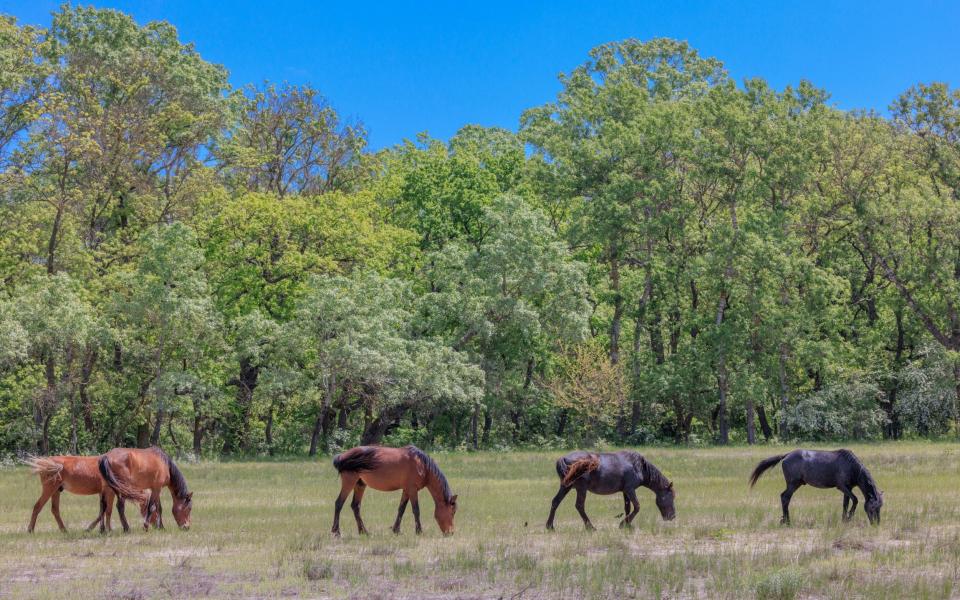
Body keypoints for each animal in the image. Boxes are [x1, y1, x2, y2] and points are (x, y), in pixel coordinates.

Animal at [330, 446, 458, 540]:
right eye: (452, 512)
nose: (451, 533)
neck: (422, 466)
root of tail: (341, 456)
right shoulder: (412, 490)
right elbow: (416, 510)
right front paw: (419, 531)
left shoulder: (406, 490)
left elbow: (401, 509)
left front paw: (396, 530)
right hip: (349, 482)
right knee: (339, 503)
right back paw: (336, 532)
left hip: (360, 484)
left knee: (355, 506)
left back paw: (363, 532)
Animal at [548, 450, 676, 528]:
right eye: (671, 497)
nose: (673, 516)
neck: (637, 466)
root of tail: (564, 458)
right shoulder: (630, 489)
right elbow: (637, 507)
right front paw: (623, 524)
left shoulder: (625, 491)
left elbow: (628, 508)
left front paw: (627, 525)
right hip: (581, 489)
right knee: (579, 506)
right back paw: (590, 527)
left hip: (566, 487)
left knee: (555, 502)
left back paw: (550, 526)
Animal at [752, 448, 884, 524]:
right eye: (873, 507)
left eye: (880, 507)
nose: (876, 524)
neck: (850, 466)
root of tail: (786, 455)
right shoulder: (842, 487)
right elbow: (855, 500)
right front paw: (849, 517)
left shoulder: (848, 489)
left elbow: (845, 504)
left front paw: (844, 520)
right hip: (793, 484)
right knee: (785, 498)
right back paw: (787, 521)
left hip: (795, 484)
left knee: (785, 497)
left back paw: (784, 520)